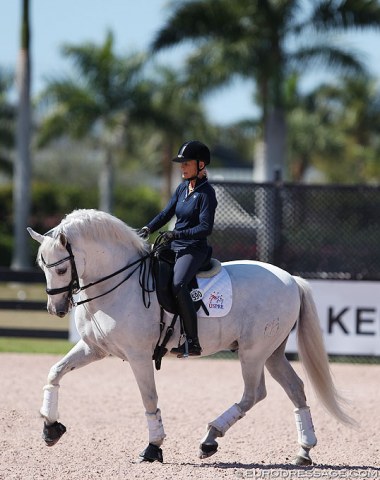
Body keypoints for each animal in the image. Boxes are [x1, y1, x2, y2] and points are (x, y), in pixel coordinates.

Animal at [28, 209, 354, 464]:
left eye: (61, 268)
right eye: (42, 266)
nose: (56, 309)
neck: (117, 284)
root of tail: (291, 279)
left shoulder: (138, 356)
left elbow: (149, 399)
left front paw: (153, 448)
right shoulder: (94, 348)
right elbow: (55, 372)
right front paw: (50, 427)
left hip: (253, 353)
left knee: (253, 394)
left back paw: (210, 439)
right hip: (272, 353)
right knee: (295, 389)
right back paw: (304, 451)